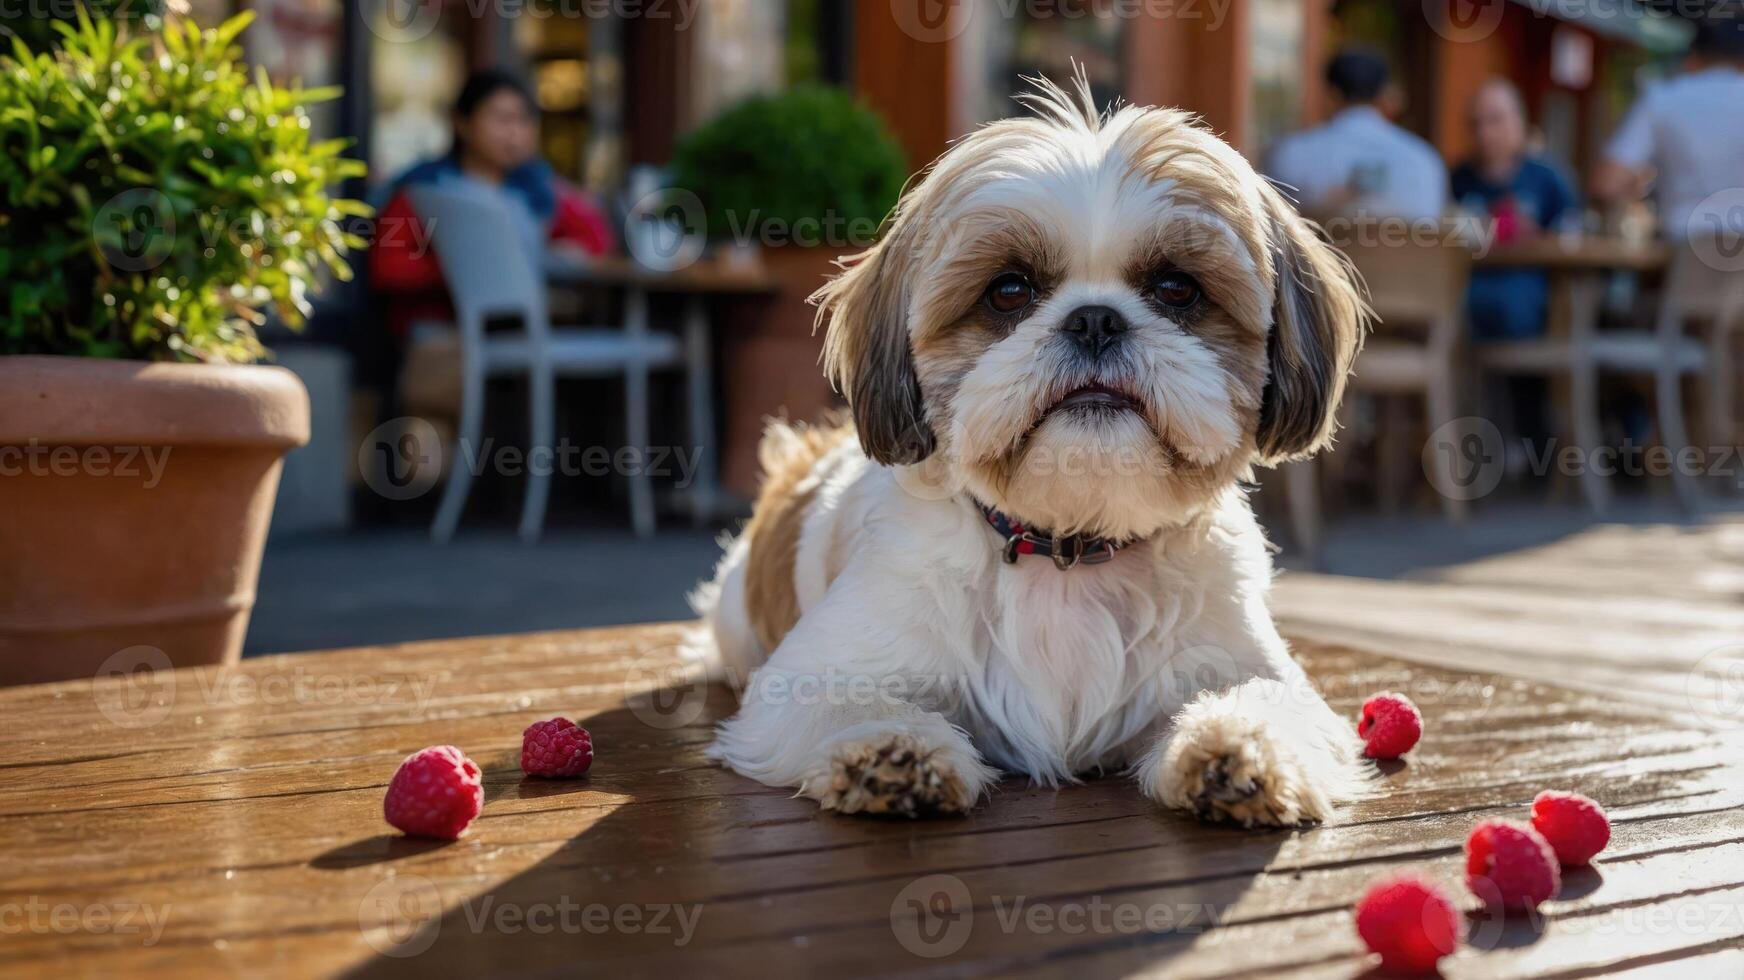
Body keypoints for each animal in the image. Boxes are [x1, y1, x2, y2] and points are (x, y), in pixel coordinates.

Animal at [687, 78, 1367, 823]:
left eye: (1177, 288)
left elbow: (1269, 703)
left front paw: (1238, 752)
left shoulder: (1249, 663)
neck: (1067, 547)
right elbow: (846, 703)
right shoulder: (809, 677)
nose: (1095, 319)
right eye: (1009, 290)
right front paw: (892, 751)